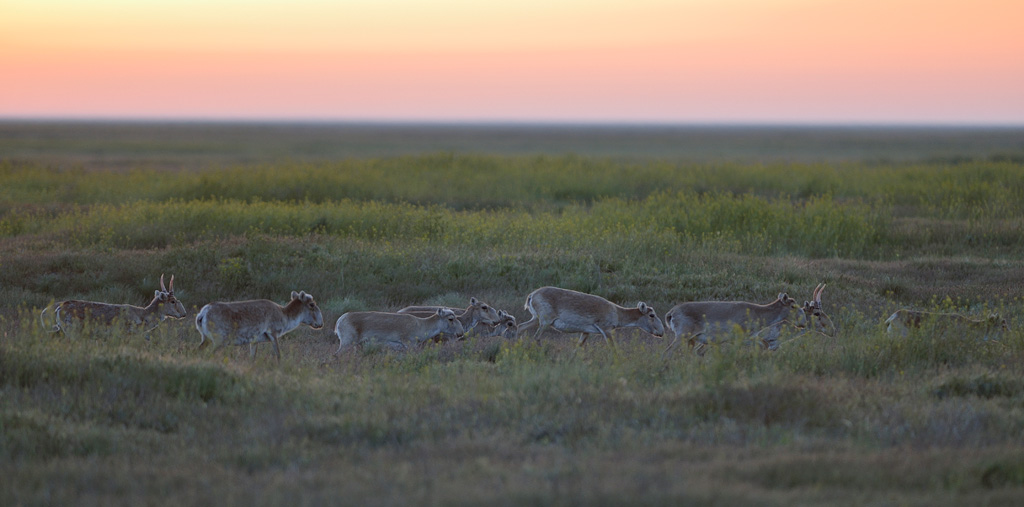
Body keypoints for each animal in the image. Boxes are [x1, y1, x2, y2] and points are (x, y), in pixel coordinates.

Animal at [333, 307, 466, 354]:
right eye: (451, 318)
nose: (461, 332)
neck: (421, 325)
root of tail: (339, 320)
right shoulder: (409, 344)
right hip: (346, 342)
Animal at [516, 286, 667, 348]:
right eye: (652, 315)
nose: (662, 332)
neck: (617, 312)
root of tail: (532, 295)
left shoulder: (585, 332)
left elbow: (578, 348)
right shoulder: (606, 330)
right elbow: (613, 348)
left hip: (536, 320)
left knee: (520, 328)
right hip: (545, 322)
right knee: (536, 336)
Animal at [663, 288, 806, 356]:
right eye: (793, 306)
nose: (803, 322)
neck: (757, 313)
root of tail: (671, 312)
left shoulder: (750, 337)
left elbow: (764, 344)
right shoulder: (738, 337)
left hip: (690, 339)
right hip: (682, 335)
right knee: (667, 352)